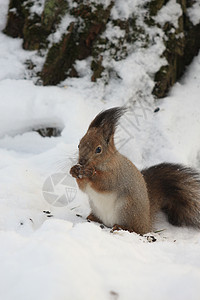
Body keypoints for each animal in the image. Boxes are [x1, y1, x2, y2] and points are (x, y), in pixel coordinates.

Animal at [69, 106, 200, 234]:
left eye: (98, 149)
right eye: (79, 145)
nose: (82, 161)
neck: (106, 162)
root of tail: (146, 222)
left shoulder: (117, 174)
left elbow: (106, 183)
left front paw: (91, 173)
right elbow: (83, 187)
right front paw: (74, 170)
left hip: (127, 209)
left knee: (135, 229)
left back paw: (121, 227)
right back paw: (93, 218)